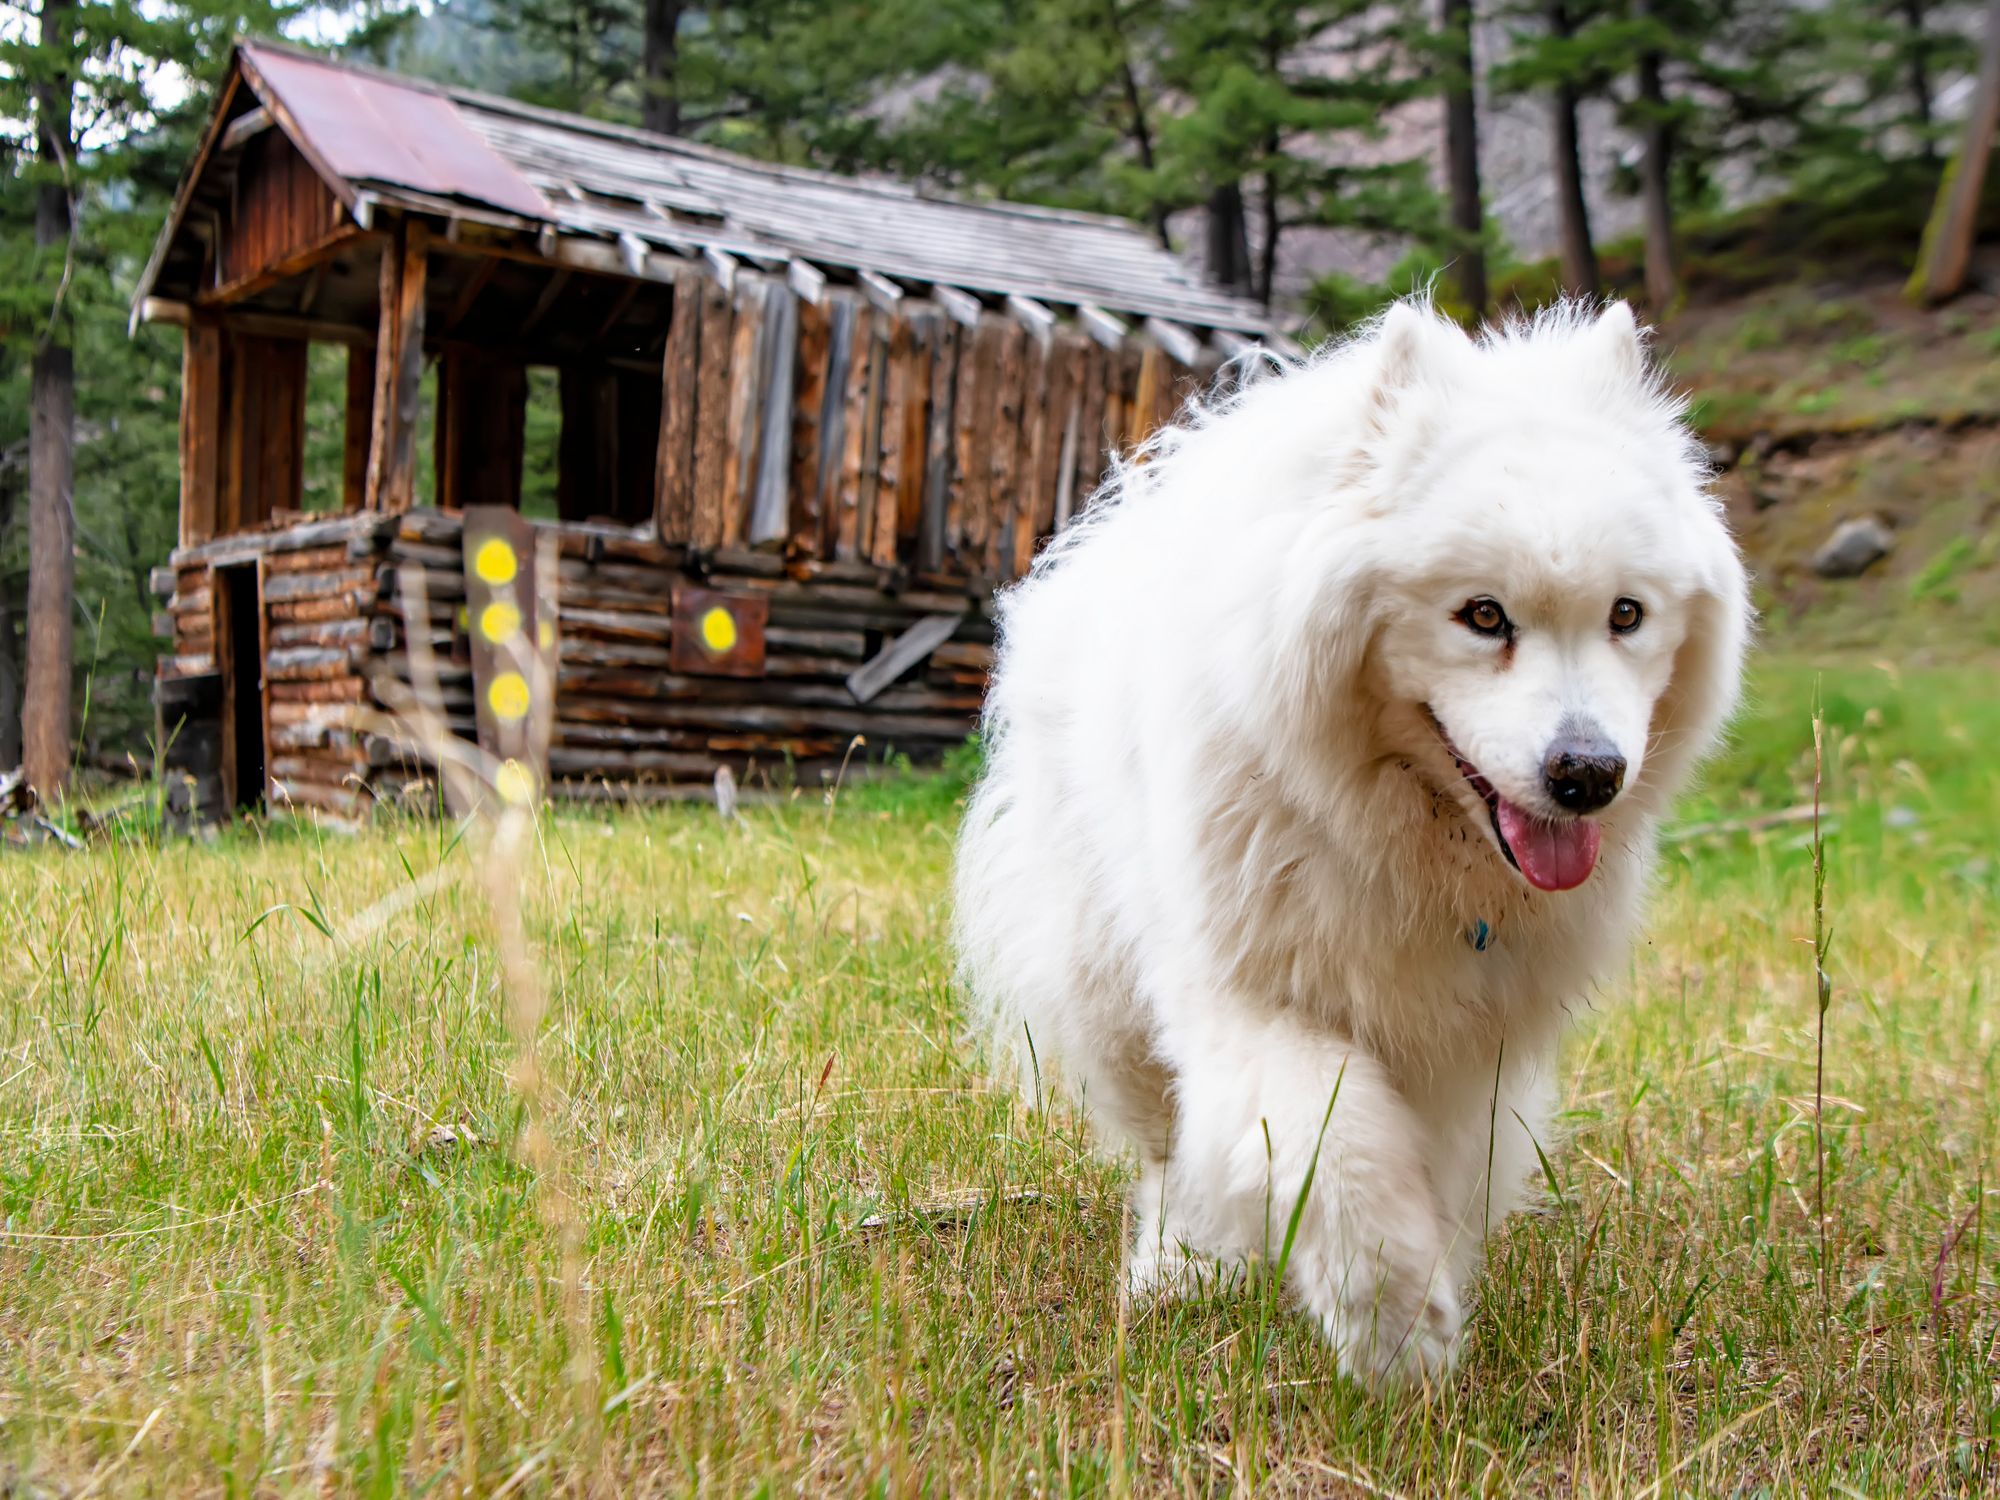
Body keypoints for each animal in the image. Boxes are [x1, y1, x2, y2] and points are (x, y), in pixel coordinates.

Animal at [952, 300, 1752, 1392]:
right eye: (1482, 615)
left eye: (1626, 615)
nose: (1588, 773)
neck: (1397, 840)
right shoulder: (1251, 1001)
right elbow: (1336, 1144)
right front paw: (1392, 1330)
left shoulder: (1465, 1043)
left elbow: (1428, 1168)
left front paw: (1421, 1307)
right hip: (1107, 990)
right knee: (1167, 1144)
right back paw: (1178, 1270)